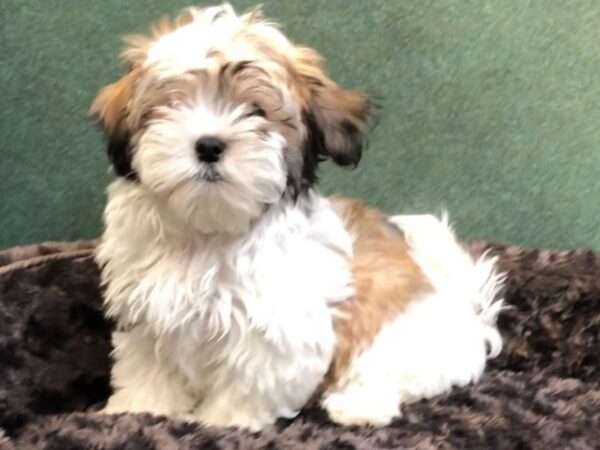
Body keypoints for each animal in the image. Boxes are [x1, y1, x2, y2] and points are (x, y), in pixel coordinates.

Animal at [89, 5, 504, 430]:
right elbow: (147, 370)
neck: (209, 231)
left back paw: (358, 406)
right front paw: (138, 410)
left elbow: (244, 389)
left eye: (256, 111)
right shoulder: (145, 317)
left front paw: (222, 424)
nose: (208, 144)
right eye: (172, 105)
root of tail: (466, 309)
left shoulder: (273, 335)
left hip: (403, 339)